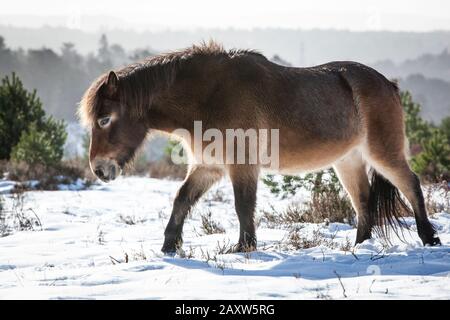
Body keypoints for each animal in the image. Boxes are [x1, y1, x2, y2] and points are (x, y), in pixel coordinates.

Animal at [77, 41, 440, 254]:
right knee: (363, 201)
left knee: (410, 185)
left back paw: (429, 238)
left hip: (383, 152)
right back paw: (360, 248)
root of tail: (388, 84)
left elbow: (242, 205)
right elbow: (182, 199)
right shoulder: (208, 165)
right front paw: (170, 245)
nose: (99, 169)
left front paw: (244, 247)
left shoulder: (242, 165)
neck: (208, 96)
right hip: (347, 160)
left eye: (105, 119)